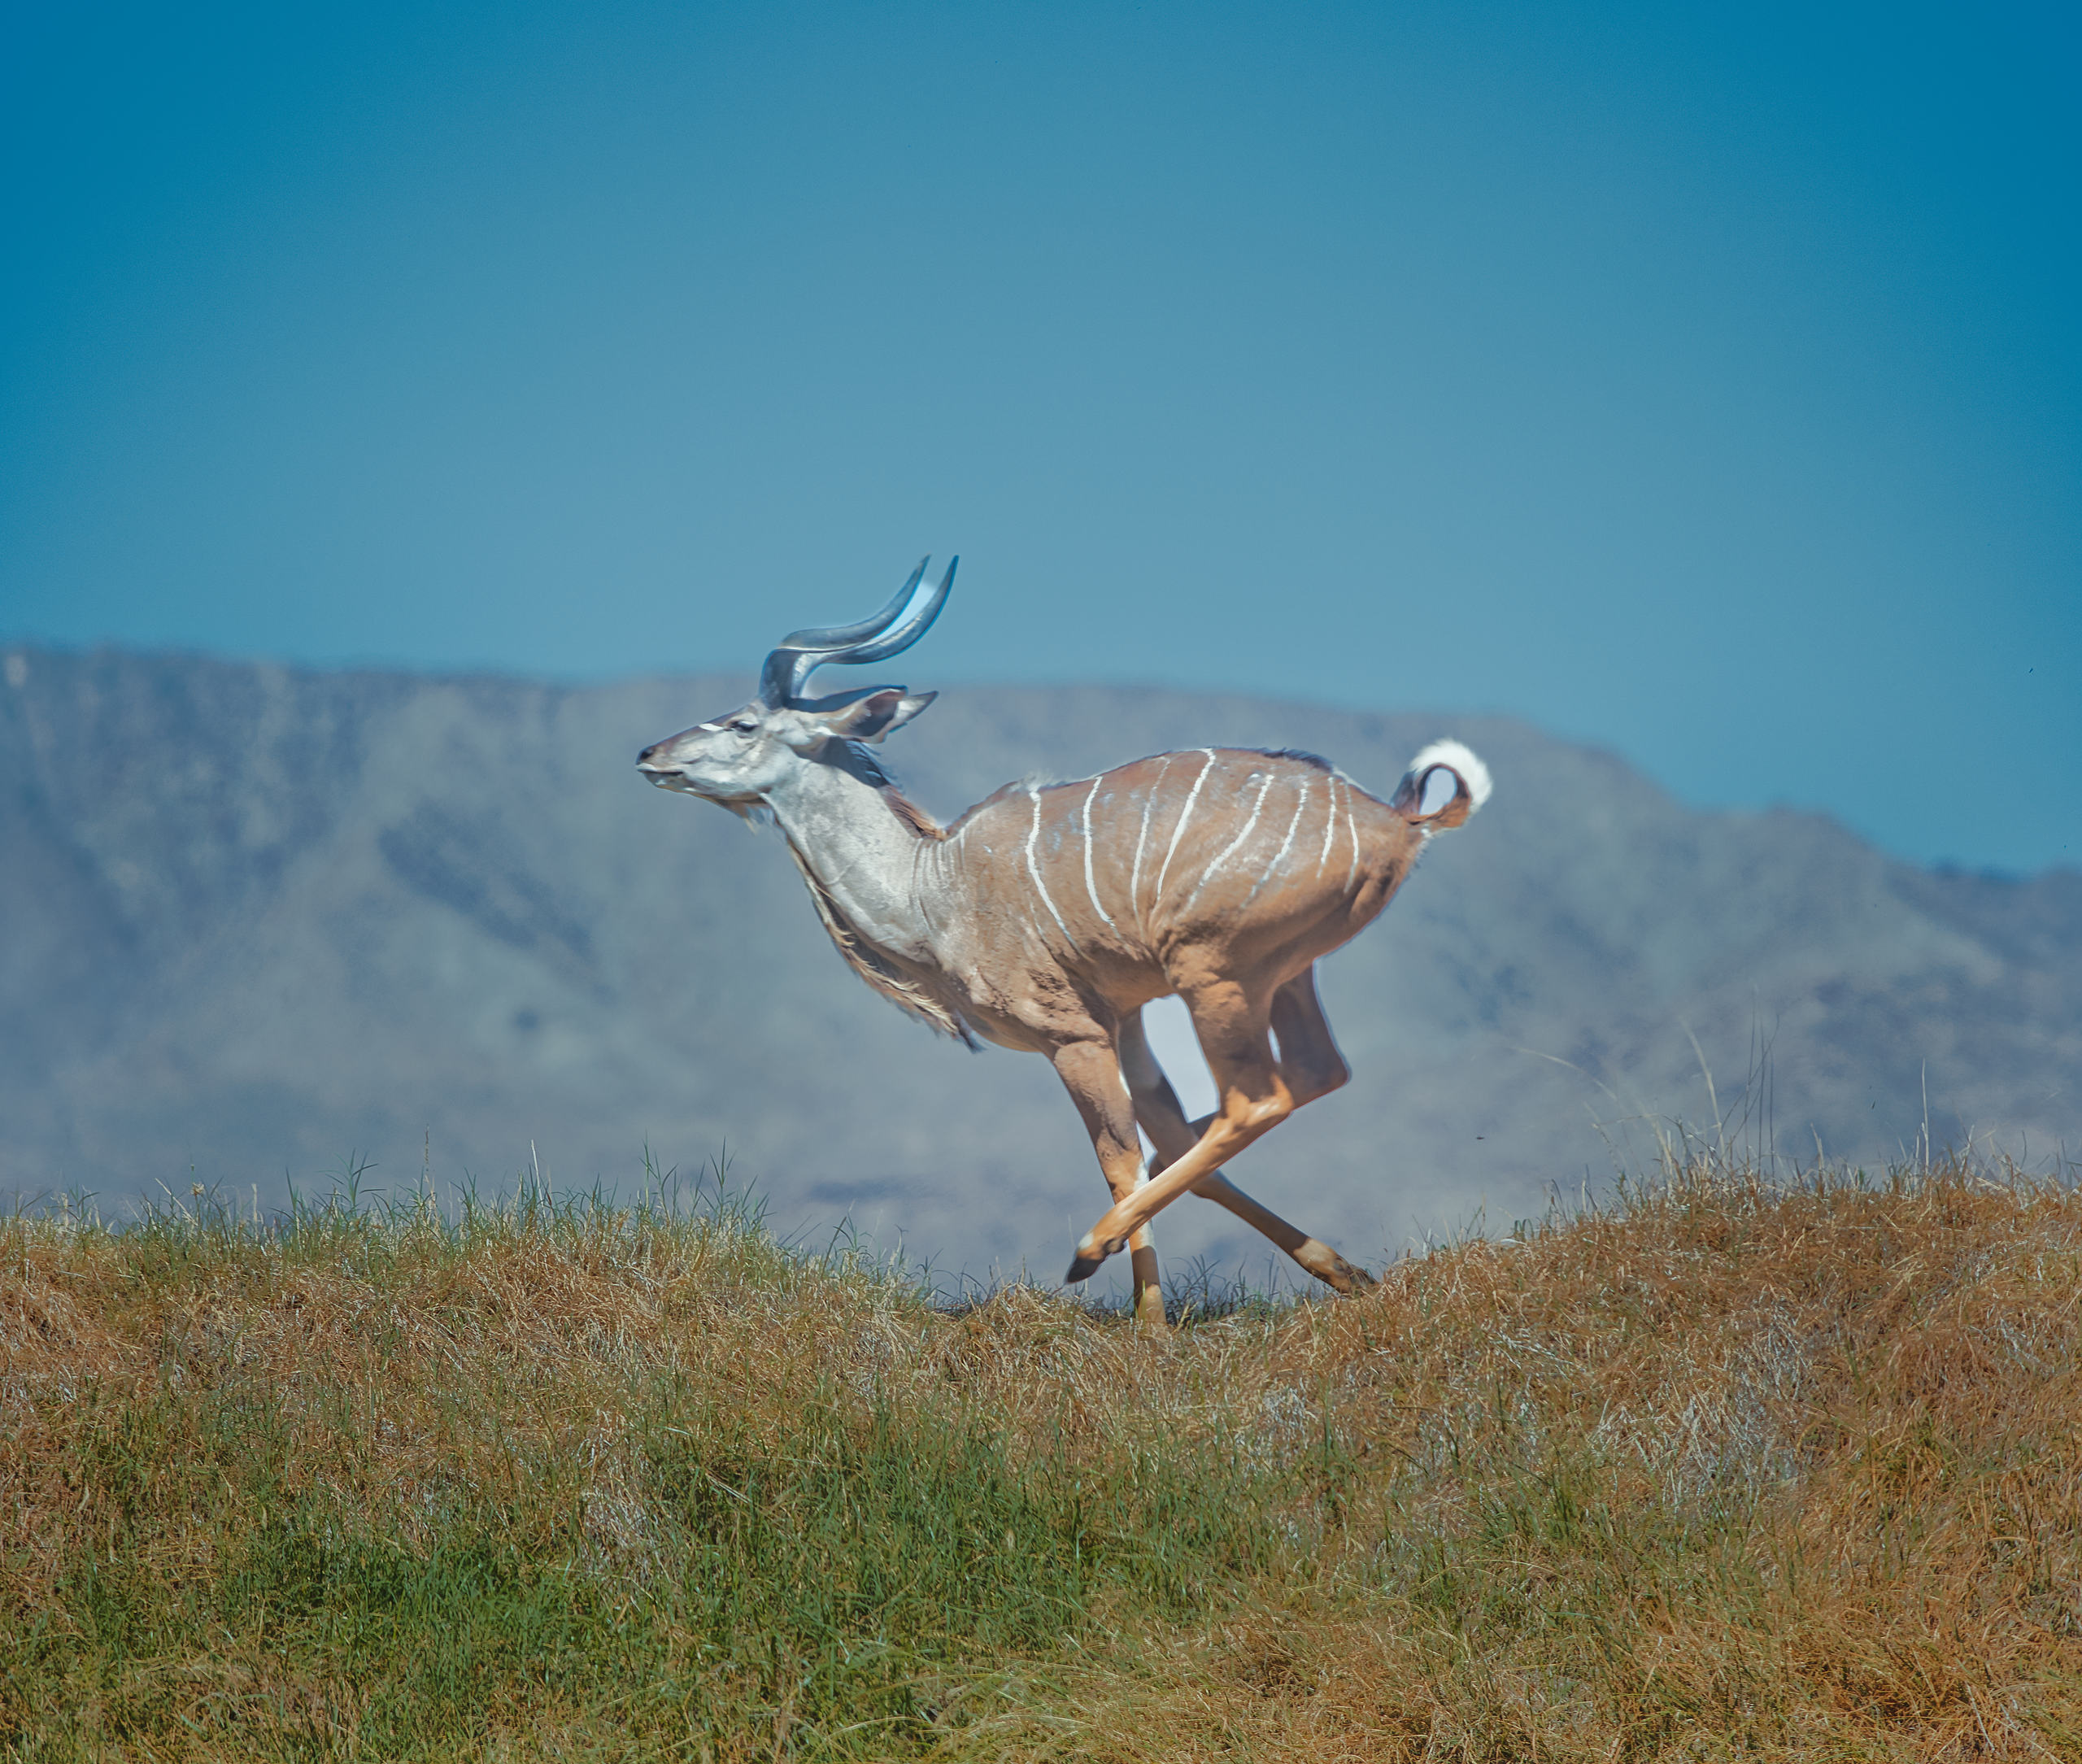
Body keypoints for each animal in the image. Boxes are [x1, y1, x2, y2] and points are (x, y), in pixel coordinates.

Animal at [637, 559, 1490, 1323]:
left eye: (744, 723)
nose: (649, 755)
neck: (931, 886)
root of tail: (1399, 820)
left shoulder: (1073, 1034)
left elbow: (1121, 1159)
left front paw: (1147, 1321)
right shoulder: (1128, 1023)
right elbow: (1165, 1146)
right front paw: (1340, 1273)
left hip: (1213, 973)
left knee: (1256, 1099)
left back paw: (1087, 1250)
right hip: (1282, 977)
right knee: (1312, 1075)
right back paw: (1341, 1270)